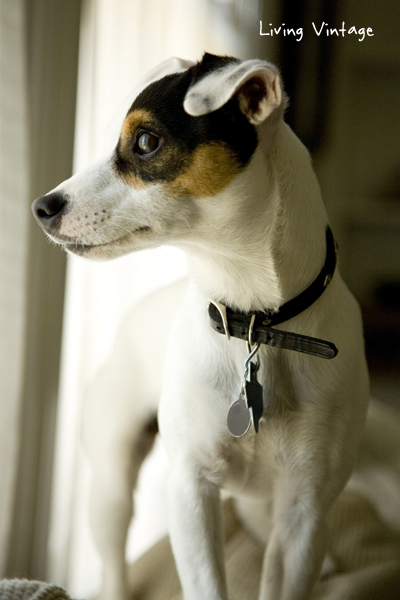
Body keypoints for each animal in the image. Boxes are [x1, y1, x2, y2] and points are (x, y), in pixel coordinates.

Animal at [32, 54, 370, 596]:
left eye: (145, 141)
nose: (41, 208)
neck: (253, 321)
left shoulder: (307, 507)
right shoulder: (191, 489)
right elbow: (206, 583)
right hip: (111, 483)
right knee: (114, 559)